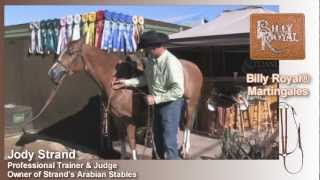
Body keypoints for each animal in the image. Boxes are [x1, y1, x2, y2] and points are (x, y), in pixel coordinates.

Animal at [48, 38, 202, 160]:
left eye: (71, 52)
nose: (52, 73)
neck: (116, 81)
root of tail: (194, 66)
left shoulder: (129, 119)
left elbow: (132, 142)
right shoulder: (118, 118)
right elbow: (123, 139)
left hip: (191, 103)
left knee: (188, 125)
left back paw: (185, 151)